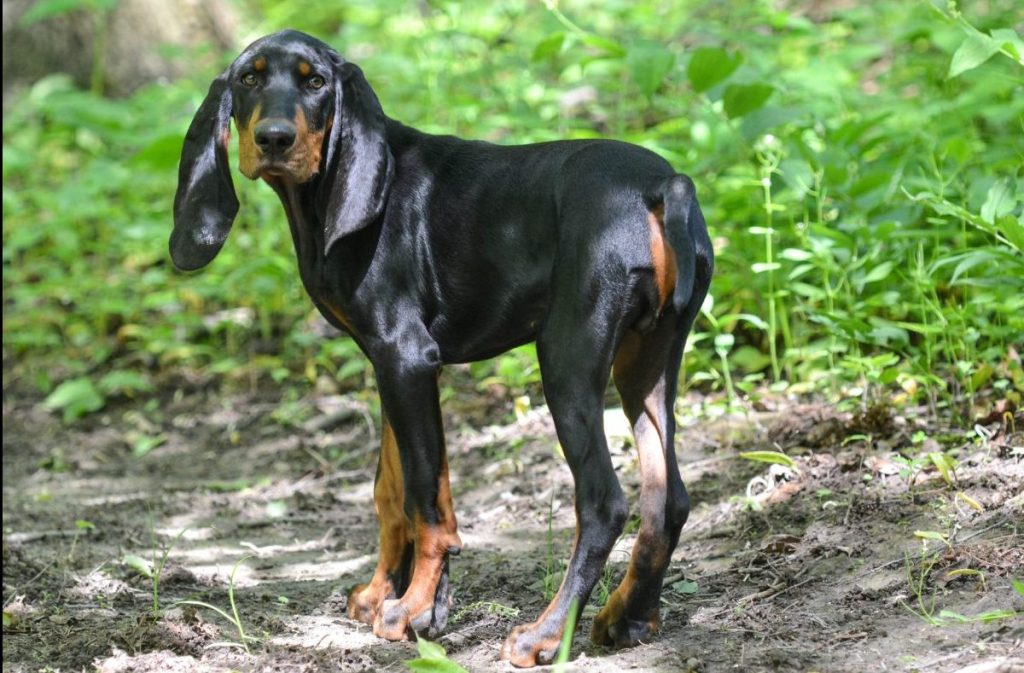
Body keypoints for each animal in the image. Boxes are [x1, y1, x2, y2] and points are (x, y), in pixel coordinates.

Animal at [169, 30, 712, 667]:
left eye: (315, 82)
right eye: (248, 79)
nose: (274, 139)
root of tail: (663, 187)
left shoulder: (406, 356)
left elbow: (422, 501)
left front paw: (409, 609)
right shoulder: (393, 365)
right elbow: (397, 488)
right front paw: (394, 597)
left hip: (567, 361)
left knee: (604, 503)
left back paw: (546, 633)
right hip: (647, 365)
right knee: (667, 501)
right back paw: (628, 616)